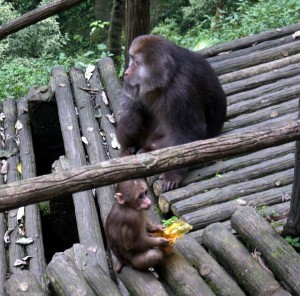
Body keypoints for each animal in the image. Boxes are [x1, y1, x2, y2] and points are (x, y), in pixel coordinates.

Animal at [116, 34, 226, 192]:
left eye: (137, 63)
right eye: (131, 59)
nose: (126, 72)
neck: (166, 80)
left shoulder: (180, 93)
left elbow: (188, 134)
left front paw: (173, 175)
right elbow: (130, 111)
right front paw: (130, 122)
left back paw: (148, 148)